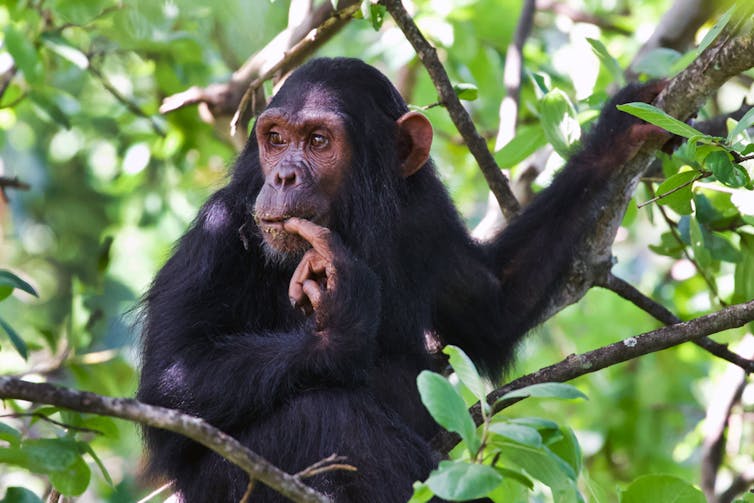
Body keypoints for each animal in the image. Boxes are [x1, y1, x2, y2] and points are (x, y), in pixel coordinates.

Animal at [137, 57, 664, 502]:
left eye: (318, 141)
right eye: (276, 138)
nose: (284, 175)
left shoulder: (425, 217)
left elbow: (495, 309)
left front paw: (624, 128)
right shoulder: (219, 232)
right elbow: (172, 376)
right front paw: (342, 320)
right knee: (326, 415)